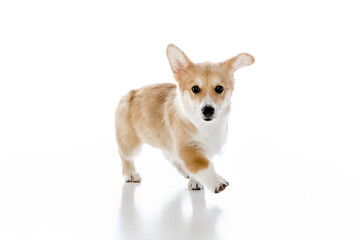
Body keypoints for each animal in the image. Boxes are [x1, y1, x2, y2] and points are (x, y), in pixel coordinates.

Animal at [114, 43, 253, 193]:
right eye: (195, 89)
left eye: (219, 88)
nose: (208, 110)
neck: (205, 125)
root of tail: (131, 93)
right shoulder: (188, 149)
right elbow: (203, 165)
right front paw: (217, 182)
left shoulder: (205, 148)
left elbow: (198, 167)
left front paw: (195, 181)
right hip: (129, 141)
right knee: (125, 156)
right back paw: (130, 173)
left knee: (169, 156)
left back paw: (184, 170)